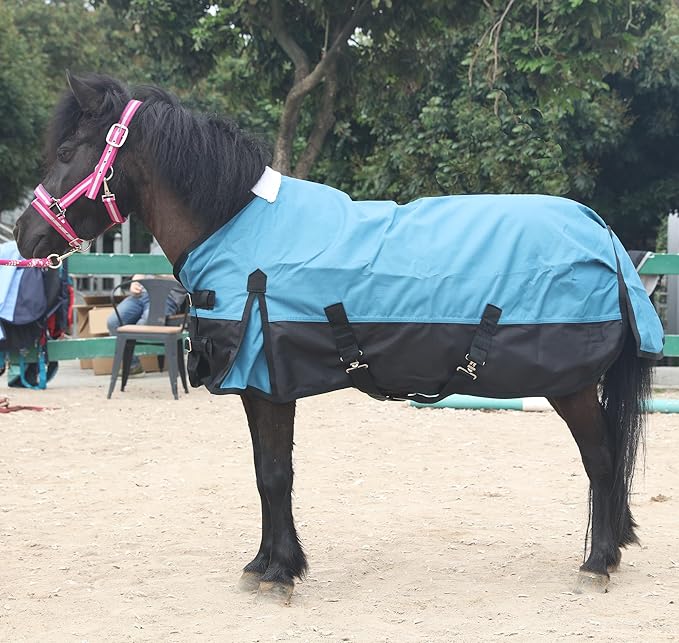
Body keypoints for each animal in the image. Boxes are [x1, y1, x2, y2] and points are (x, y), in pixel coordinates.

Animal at [14, 72, 663, 603]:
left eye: (67, 152)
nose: (23, 236)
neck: (237, 227)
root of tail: (602, 232)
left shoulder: (268, 384)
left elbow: (275, 474)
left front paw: (279, 574)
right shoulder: (260, 387)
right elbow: (265, 473)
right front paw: (266, 564)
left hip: (570, 386)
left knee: (602, 460)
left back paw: (598, 563)